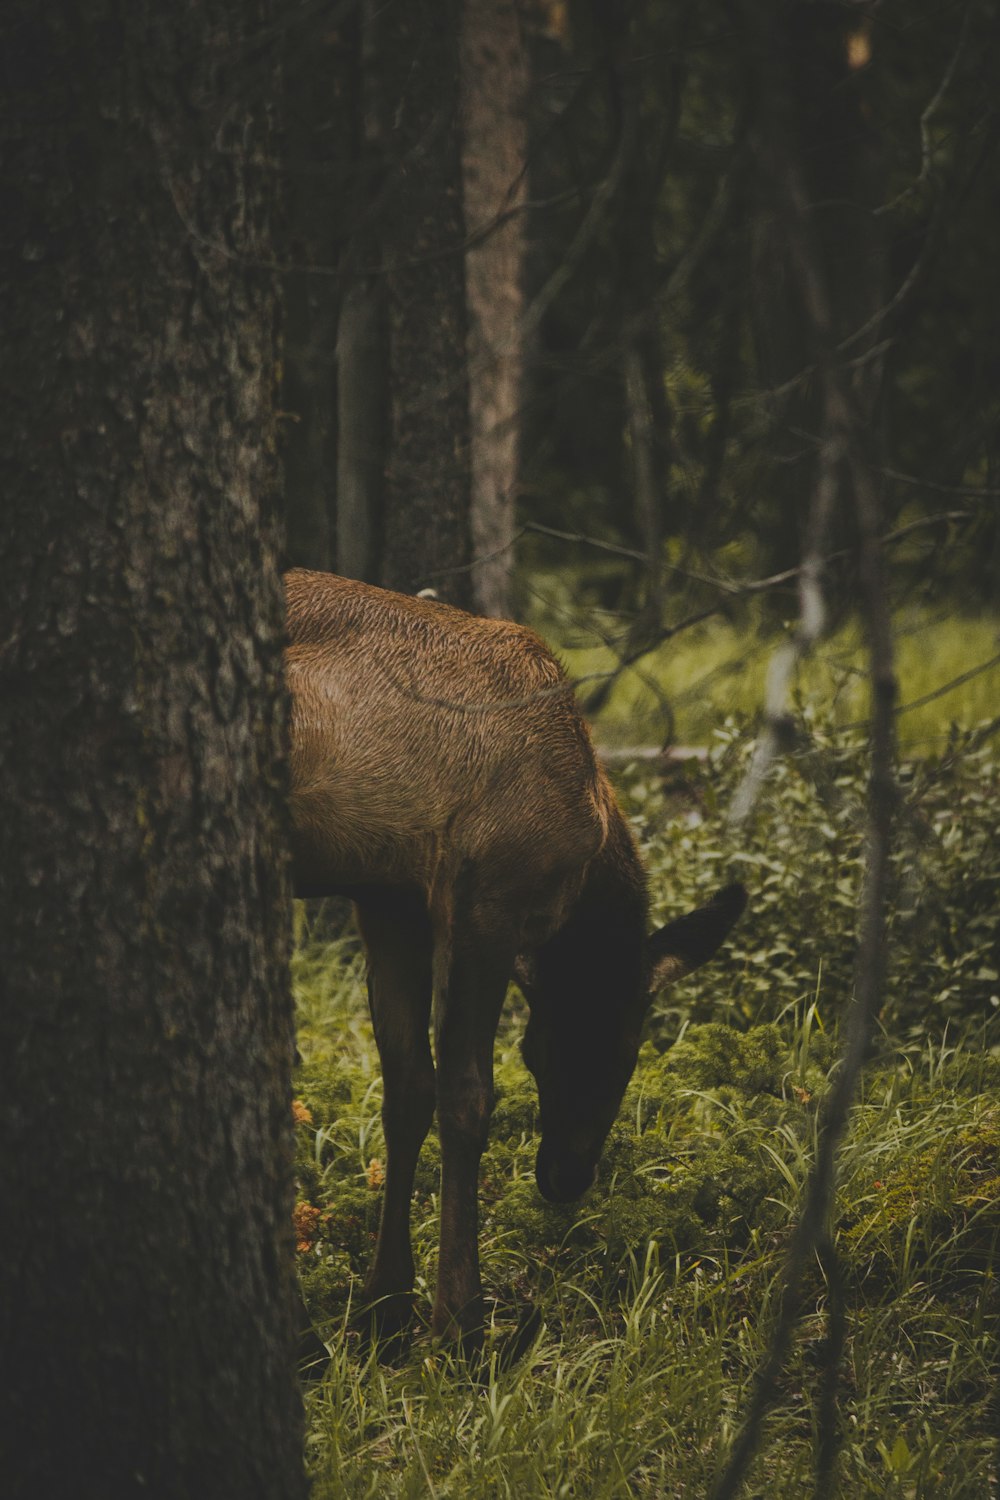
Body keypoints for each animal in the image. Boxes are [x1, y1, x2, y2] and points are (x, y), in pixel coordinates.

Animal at [281, 570, 743, 1350]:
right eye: (626, 1049)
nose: (566, 1175)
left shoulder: (390, 902)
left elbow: (406, 1090)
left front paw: (385, 1306)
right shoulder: (486, 901)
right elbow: (466, 1097)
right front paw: (459, 1320)